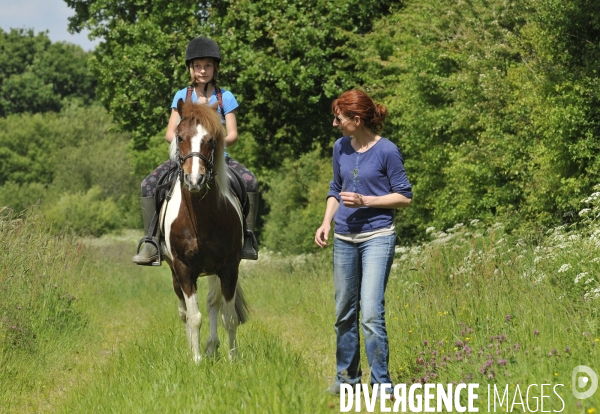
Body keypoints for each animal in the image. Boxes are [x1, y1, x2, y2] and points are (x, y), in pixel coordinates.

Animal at [159, 98, 248, 362]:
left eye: (211, 140)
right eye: (179, 137)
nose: (194, 180)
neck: (201, 218)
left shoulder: (229, 267)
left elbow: (228, 317)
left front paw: (232, 359)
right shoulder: (184, 268)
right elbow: (193, 317)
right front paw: (196, 360)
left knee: (212, 303)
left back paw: (211, 346)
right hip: (176, 272)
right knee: (185, 312)